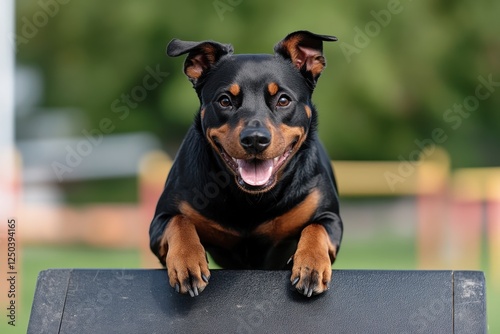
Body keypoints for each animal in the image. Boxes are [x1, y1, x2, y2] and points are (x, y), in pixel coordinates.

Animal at [148, 30, 344, 298]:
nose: (255, 139)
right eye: (224, 100)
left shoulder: (331, 218)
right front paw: (187, 262)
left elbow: (316, 228)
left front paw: (311, 265)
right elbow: (179, 221)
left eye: (283, 100)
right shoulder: (160, 221)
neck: (251, 201)